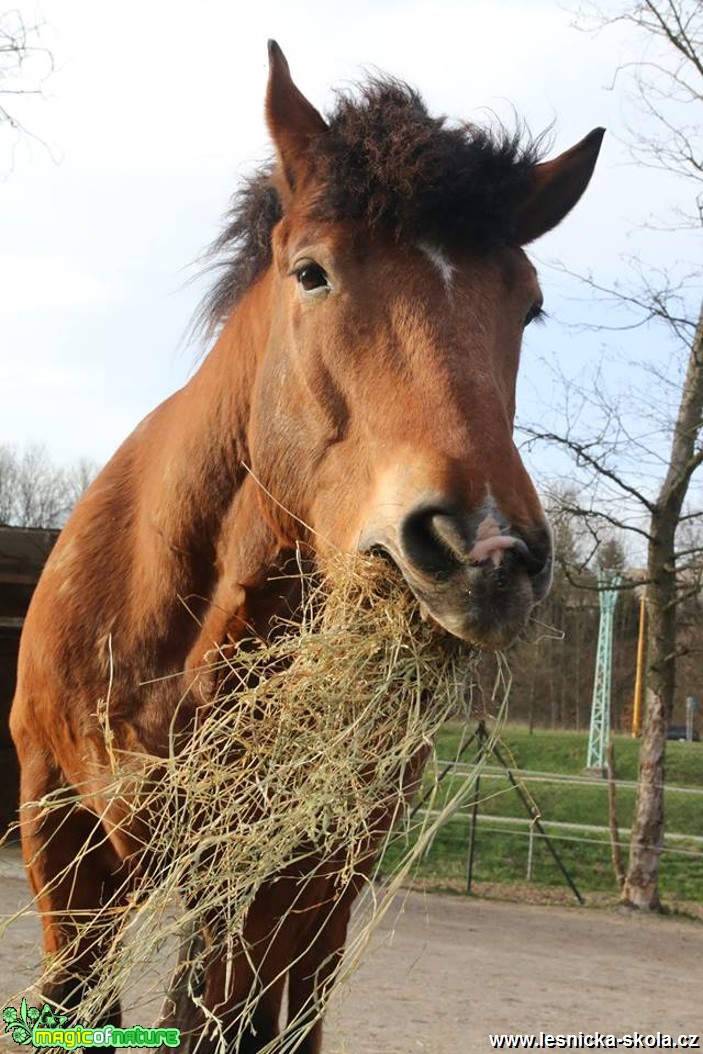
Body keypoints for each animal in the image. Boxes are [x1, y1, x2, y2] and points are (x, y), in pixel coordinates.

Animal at [9, 41, 607, 1054]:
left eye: (526, 306)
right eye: (311, 273)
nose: (484, 551)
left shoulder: (270, 862)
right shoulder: (60, 827)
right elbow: (75, 1002)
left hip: (324, 881)